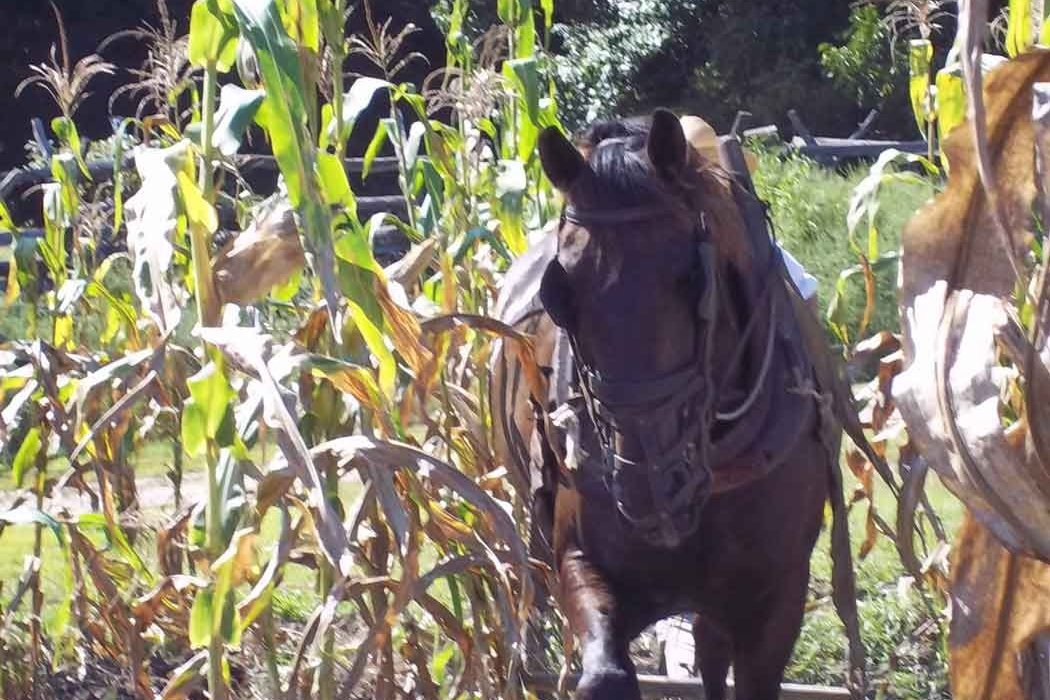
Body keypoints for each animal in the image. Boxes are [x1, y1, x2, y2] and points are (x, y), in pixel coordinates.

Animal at [489, 112, 852, 700]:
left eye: (691, 276)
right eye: (559, 289)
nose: (648, 489)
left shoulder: (776, 598)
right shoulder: (581, 561)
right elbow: (606, 675)